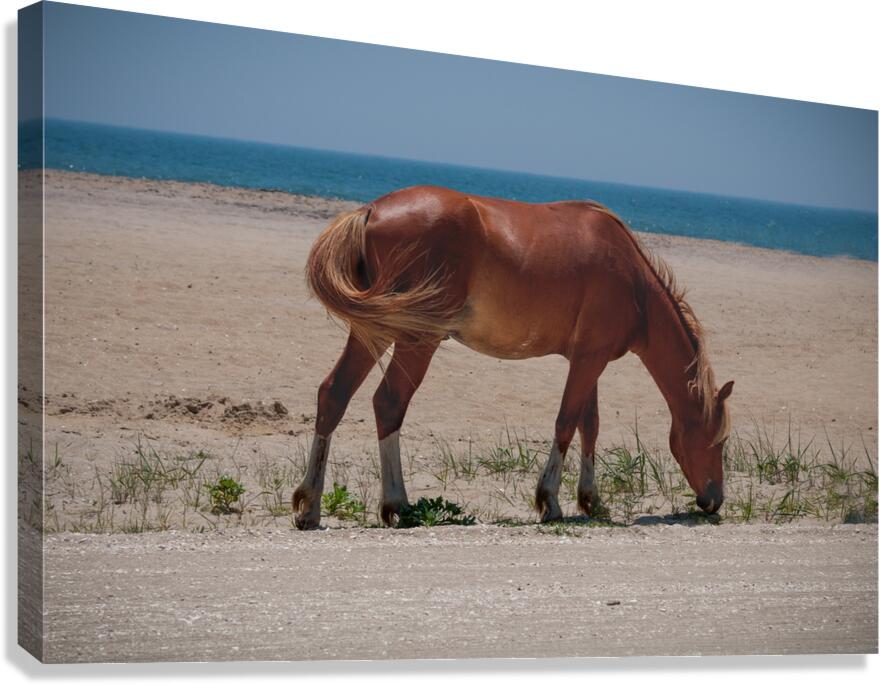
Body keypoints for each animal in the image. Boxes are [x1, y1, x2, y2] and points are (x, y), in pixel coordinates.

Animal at [292, 183, 732, 528]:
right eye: (720, 441)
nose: (714, 500)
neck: (631, 280)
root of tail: (371, 211)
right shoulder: (589, 360)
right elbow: (566, 423)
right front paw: (550, 501)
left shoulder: (587, 359)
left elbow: (589, 425)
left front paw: (591, 500)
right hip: (418, 339)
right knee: (388, 403)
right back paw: (397, 504)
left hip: (375, 332)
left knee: (334, 394)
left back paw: (310, 505)